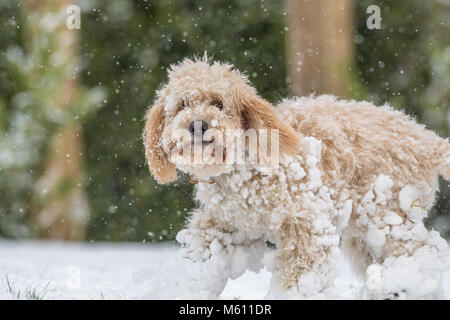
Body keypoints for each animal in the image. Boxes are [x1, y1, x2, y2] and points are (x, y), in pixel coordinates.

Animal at [143, 57, 450, 300]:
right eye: (182, 105)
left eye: (218, 103)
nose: (197, 124)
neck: (241, 167)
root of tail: (426, 139)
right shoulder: (229, 223)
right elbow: (205, 252)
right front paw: (191, 288)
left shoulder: (303, 220)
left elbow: (303, 269)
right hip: (363, 236)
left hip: (383, 214)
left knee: (425, 250)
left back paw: (398, 285)